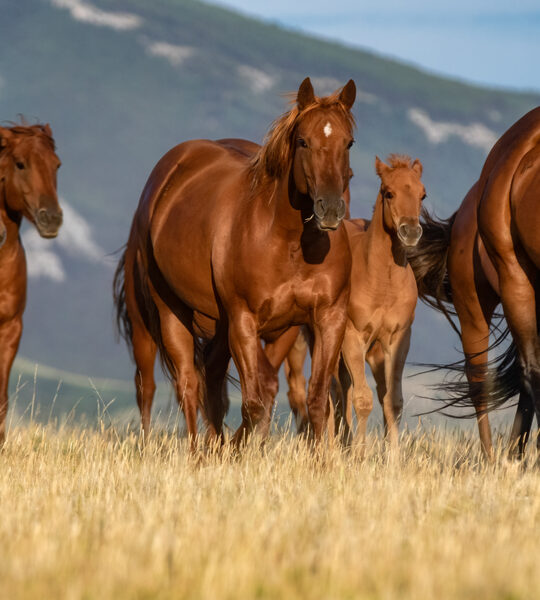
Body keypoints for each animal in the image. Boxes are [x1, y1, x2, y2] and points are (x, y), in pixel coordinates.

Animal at [115, 78, 356, 446]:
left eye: (349, 143)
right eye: (303, 141)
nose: (330, 209)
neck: (289, 245)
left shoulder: (323, 319)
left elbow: (313, 401)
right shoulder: (243, 320)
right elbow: (255, 401)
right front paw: (239, 449)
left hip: (222, 326)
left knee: (211, 379)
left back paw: (214, 446)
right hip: (160, 315)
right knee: (171, 384)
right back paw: (190, 450)